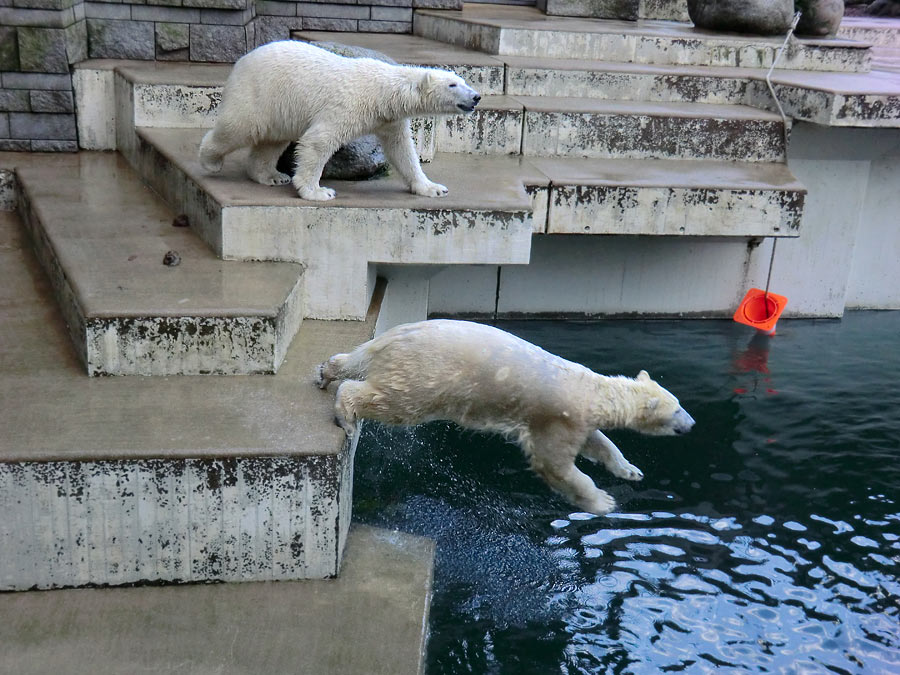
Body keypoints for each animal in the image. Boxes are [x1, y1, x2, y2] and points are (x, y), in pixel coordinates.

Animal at [196, 40, 478, 201]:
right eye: (453, 85)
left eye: (463, 81)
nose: (476, 97)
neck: (382, 90)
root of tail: (242, 60)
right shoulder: (348, 105)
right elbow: (318, 141)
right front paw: (318, 191)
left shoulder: (389, 119)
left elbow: (401, 149)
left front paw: (432, 188)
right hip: (259, 93)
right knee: (238, 128)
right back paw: (210, 160)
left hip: (279, 109)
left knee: (273, 140)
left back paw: (271, 175)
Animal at [316, 320, 696, 516]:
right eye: (677, 409)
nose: (692, 424)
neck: (592, 391)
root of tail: (392, 337)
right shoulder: (558, 418)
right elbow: (555, 464)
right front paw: (602, 502)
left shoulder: (579, 421)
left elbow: (600, 444)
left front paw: (630, 470)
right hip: (425, 377)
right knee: (392, 401)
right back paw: (346, 415)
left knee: (352, 362)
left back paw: (326, 372)